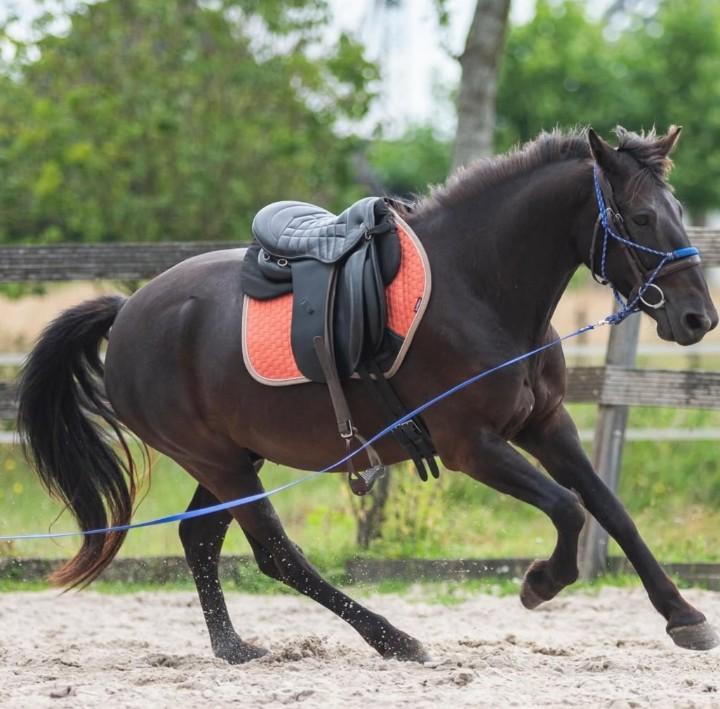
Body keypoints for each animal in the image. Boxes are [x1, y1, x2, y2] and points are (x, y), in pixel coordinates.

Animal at [17, 126, 719, 663]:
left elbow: (611, 510)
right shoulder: (473, 447)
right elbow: (569, 509)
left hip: (233, 460)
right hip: (219, 463)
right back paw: (395, 639)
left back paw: (234, 648)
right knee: (276, 556)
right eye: (640, 217)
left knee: (200, 538)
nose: (698, 319)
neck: (477, 289)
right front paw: (541, 582)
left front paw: (683, 615)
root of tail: (127, 310)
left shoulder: (546, 426)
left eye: (680, 213)